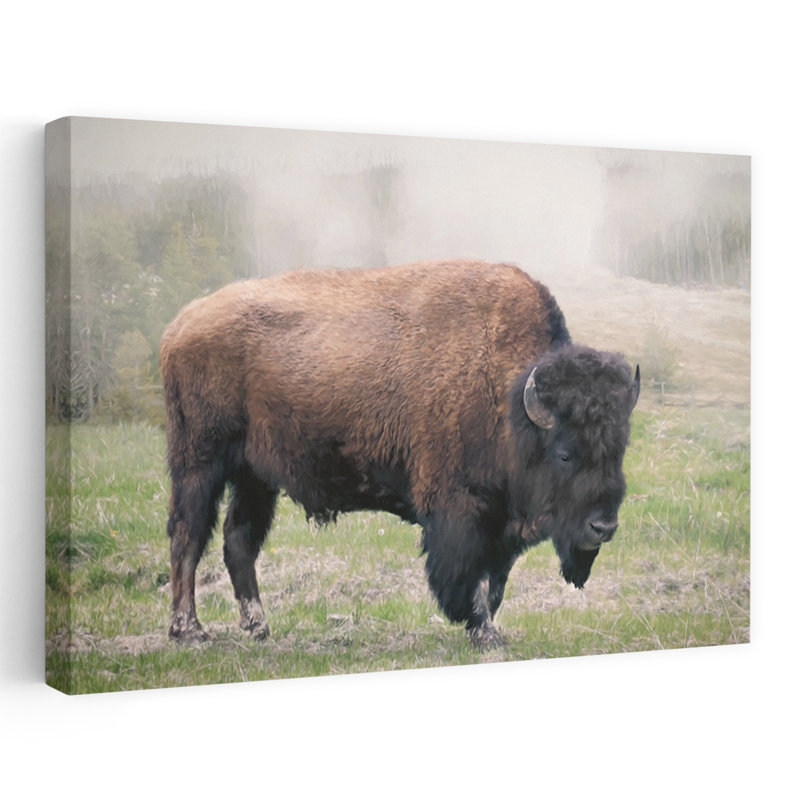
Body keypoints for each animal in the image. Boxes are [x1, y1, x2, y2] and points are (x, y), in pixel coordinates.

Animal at [160, 260, 640, 648]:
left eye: (618, 448)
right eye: (565, 454)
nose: (603, 527)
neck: (509, 397)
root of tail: (180, 325)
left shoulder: (502, 523)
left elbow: (495, 582)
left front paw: (488, 630)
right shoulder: (462, 512)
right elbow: (473, 580)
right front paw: (484, 633)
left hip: (255, 475)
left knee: (238, 540)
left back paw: (258, 626)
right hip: (200, 463)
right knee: (188, 535)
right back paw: (190, 631)